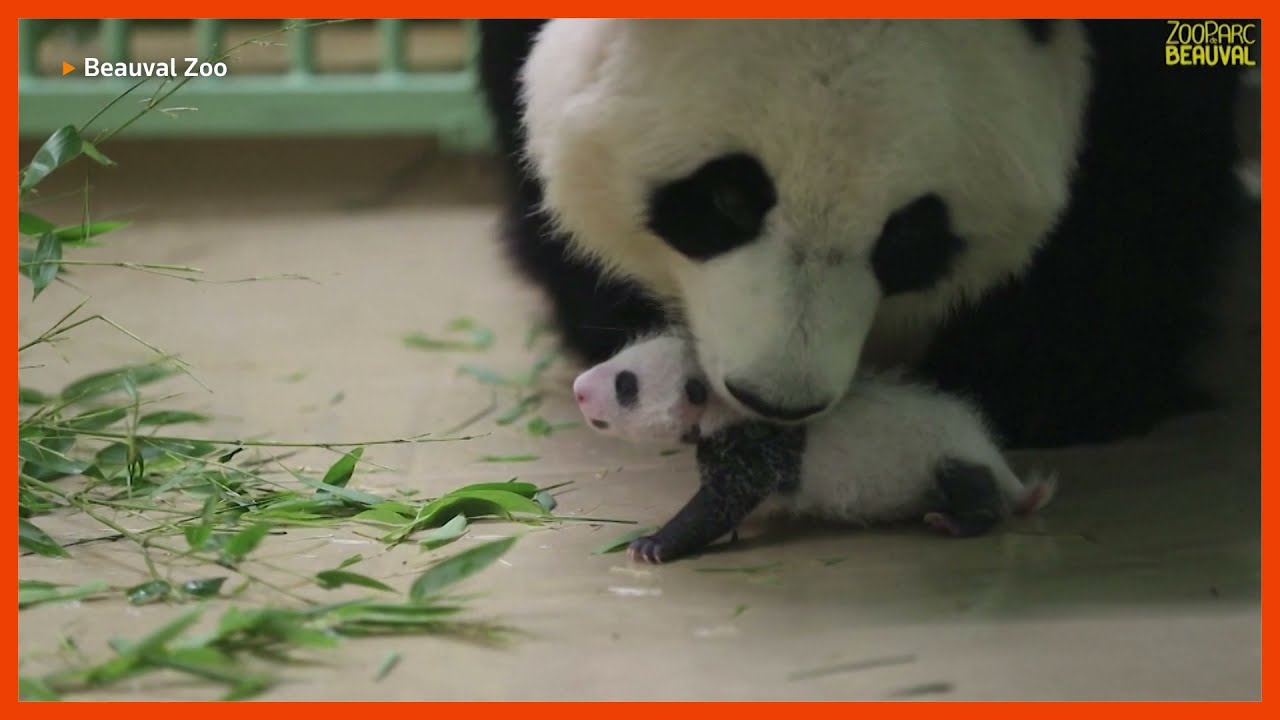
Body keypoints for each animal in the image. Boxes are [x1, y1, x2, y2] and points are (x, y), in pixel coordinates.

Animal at [476, 19, 1246, 452]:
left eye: (908, 235)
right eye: (728, 197)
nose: (776, 400)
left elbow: (1149, 146)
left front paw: (1052, 383)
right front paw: (611, 314)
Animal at [572, 331, 1056, 563]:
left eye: (626, 386)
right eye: (620, 356)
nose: (579, 389)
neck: (725, 402)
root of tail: (990, 451)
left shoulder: (757, 444)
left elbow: (721, 501)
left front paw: (654, 544)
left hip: (944, 456)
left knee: (970, 486)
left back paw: (958, 520)